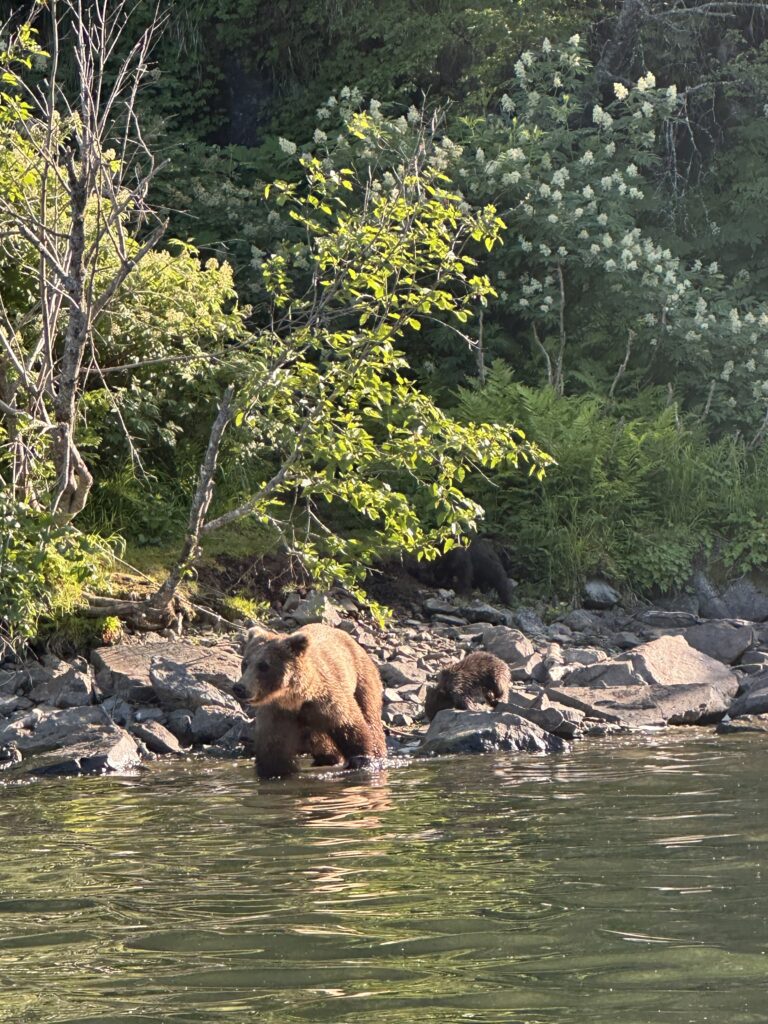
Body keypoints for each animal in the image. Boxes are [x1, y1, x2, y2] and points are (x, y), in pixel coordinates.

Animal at [233, 622, 387, 778]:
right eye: (245, 663)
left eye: (264, 666)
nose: (239, 687)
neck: (294, 699)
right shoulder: (277, 713)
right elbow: (274, 755)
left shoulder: (328, 702)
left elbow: (350, 726)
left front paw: (364, 759)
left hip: (362, 678)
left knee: (370, 716)